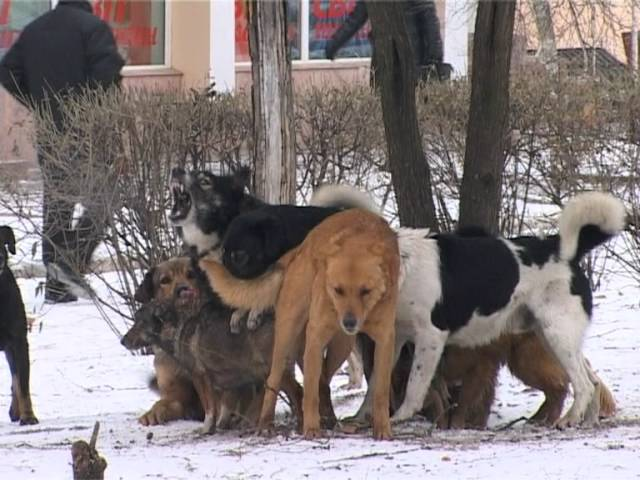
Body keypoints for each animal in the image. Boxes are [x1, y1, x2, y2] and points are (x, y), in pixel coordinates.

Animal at [200, 208, 400, 440]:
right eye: (337, 290)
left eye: (365, 291)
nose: (349, 322)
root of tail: (298, 249)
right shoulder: (316, 334)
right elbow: (309, 392)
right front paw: (311, 429)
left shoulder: (385, 340)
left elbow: (381, 391)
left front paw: (383, 428)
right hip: (288, 335)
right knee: (278, 380)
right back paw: (267, 424)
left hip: (342, 345)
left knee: (323, 380)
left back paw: (329, 419)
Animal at [312, 188, 628, 428]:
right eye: (336, 287)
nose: (347, 323)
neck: (403, 268)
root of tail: (563, 250)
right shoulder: (397, 337)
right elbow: (378, 380)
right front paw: (364, 416)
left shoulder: (430, 337)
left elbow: (415, 385)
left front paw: (400, 417)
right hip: (548, 337)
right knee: (591, 381)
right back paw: (587, 421)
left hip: (556, 335)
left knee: (583, 384)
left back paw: (568, 419)